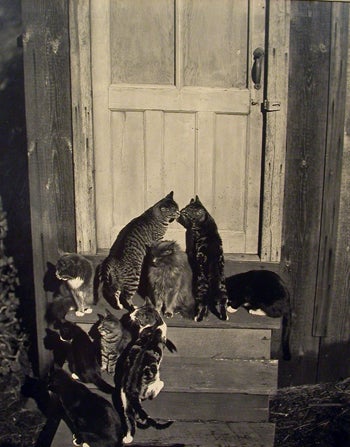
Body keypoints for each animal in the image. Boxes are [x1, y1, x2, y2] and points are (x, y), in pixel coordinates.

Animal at [113, 298, 175, 444]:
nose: (129, 315)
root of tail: (131, 390)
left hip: (126, 404)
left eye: (136, 314)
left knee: (131, 421)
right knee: (153, 391)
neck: (155, 326)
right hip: (151, 384)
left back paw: (128, 438)